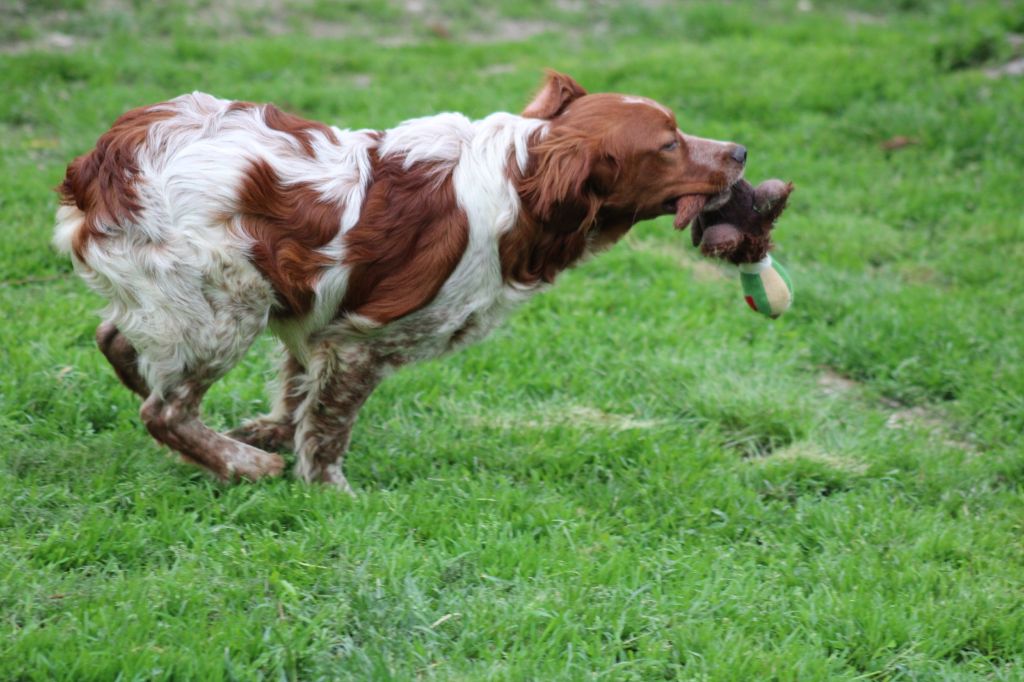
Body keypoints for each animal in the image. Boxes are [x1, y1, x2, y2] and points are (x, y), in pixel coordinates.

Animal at [54, 70, 745, 489]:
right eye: (668, 144)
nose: (740, 152)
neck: (522, 186)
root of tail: (107, 156)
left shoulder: (320, 318)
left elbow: (298, 394)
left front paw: (268, 428)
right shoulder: (361, 339)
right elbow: (329, 428)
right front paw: (325, 486)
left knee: (118, 343)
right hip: (229, 303)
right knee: (164, 409)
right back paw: (243, 464)